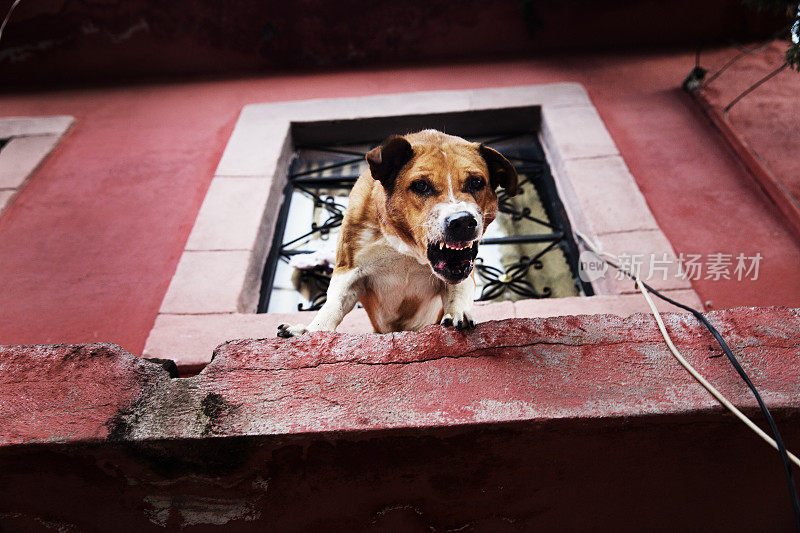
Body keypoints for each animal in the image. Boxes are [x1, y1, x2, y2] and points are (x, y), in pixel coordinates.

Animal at [278, 129, 520, 336]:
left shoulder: (463, 272)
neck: (406, 247)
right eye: (420, 185)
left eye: (476, 182)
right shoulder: (349, 269)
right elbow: (333, 305)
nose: (461, 221)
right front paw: (311, 330)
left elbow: (457, 292)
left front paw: (458, 314)